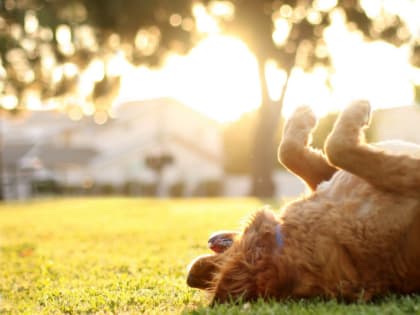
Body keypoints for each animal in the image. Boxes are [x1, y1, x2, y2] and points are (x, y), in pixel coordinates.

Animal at [189, 101, 420, 304]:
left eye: (209, 275)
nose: (190, 276)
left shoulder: (329, 178)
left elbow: (288, 152)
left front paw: (300, 116)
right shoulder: (408, 177)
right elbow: (336, 148)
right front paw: (357, 107)